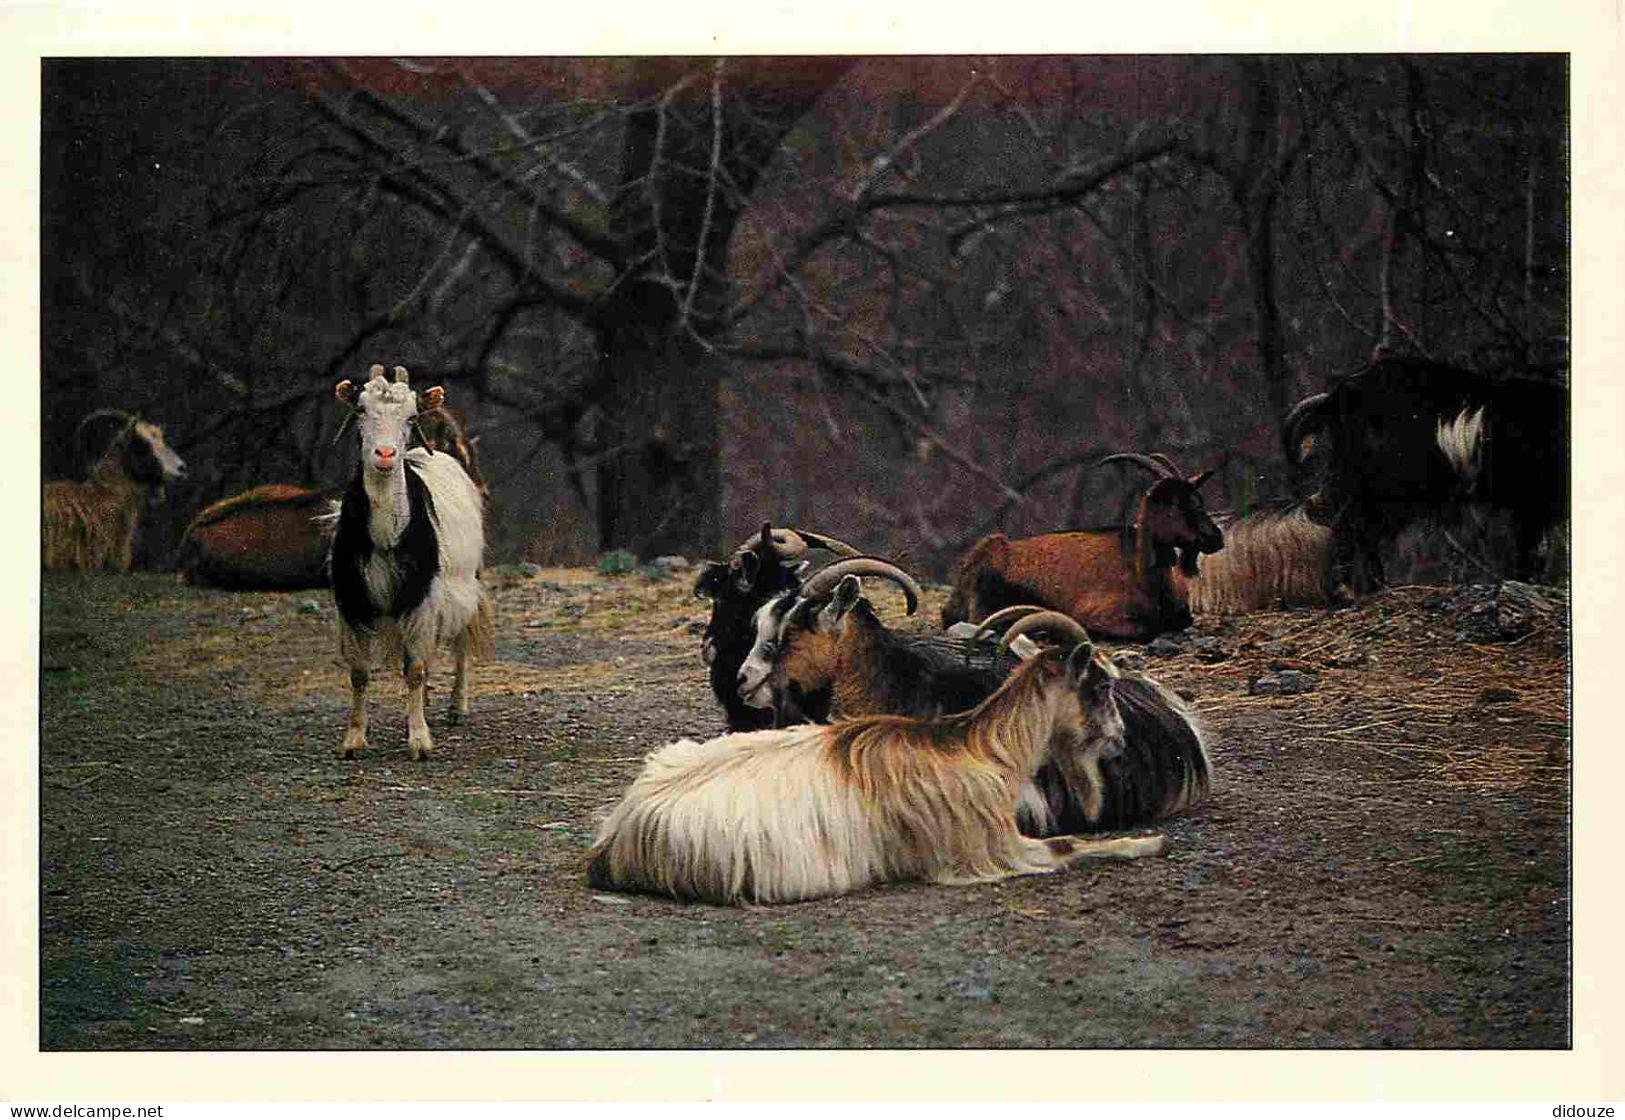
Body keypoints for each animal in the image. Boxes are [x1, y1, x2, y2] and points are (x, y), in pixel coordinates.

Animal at [323, 364, 487, 760]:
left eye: (411, 416)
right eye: (360, 410)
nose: (384, 453)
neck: (385, 537)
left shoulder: (422, 597)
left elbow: (414, 669)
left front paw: (420, 742)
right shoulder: (350, 601)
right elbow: (359, 672)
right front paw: (353, 740)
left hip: (466, 585)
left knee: (460, 642)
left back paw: (456, 708)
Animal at [591, 611, 1163, 910]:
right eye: (1101, 685)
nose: (1120, 739)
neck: (980, 746)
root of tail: (621, 835)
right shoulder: (985, 847)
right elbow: (1069, 845)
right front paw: (1149, 842)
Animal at [942, 448, 1222, 637]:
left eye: (1199, 500)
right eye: (1173, 504)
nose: (1215, 538)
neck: (1139, 572)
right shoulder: (1099, 613)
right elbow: (1144, 628)